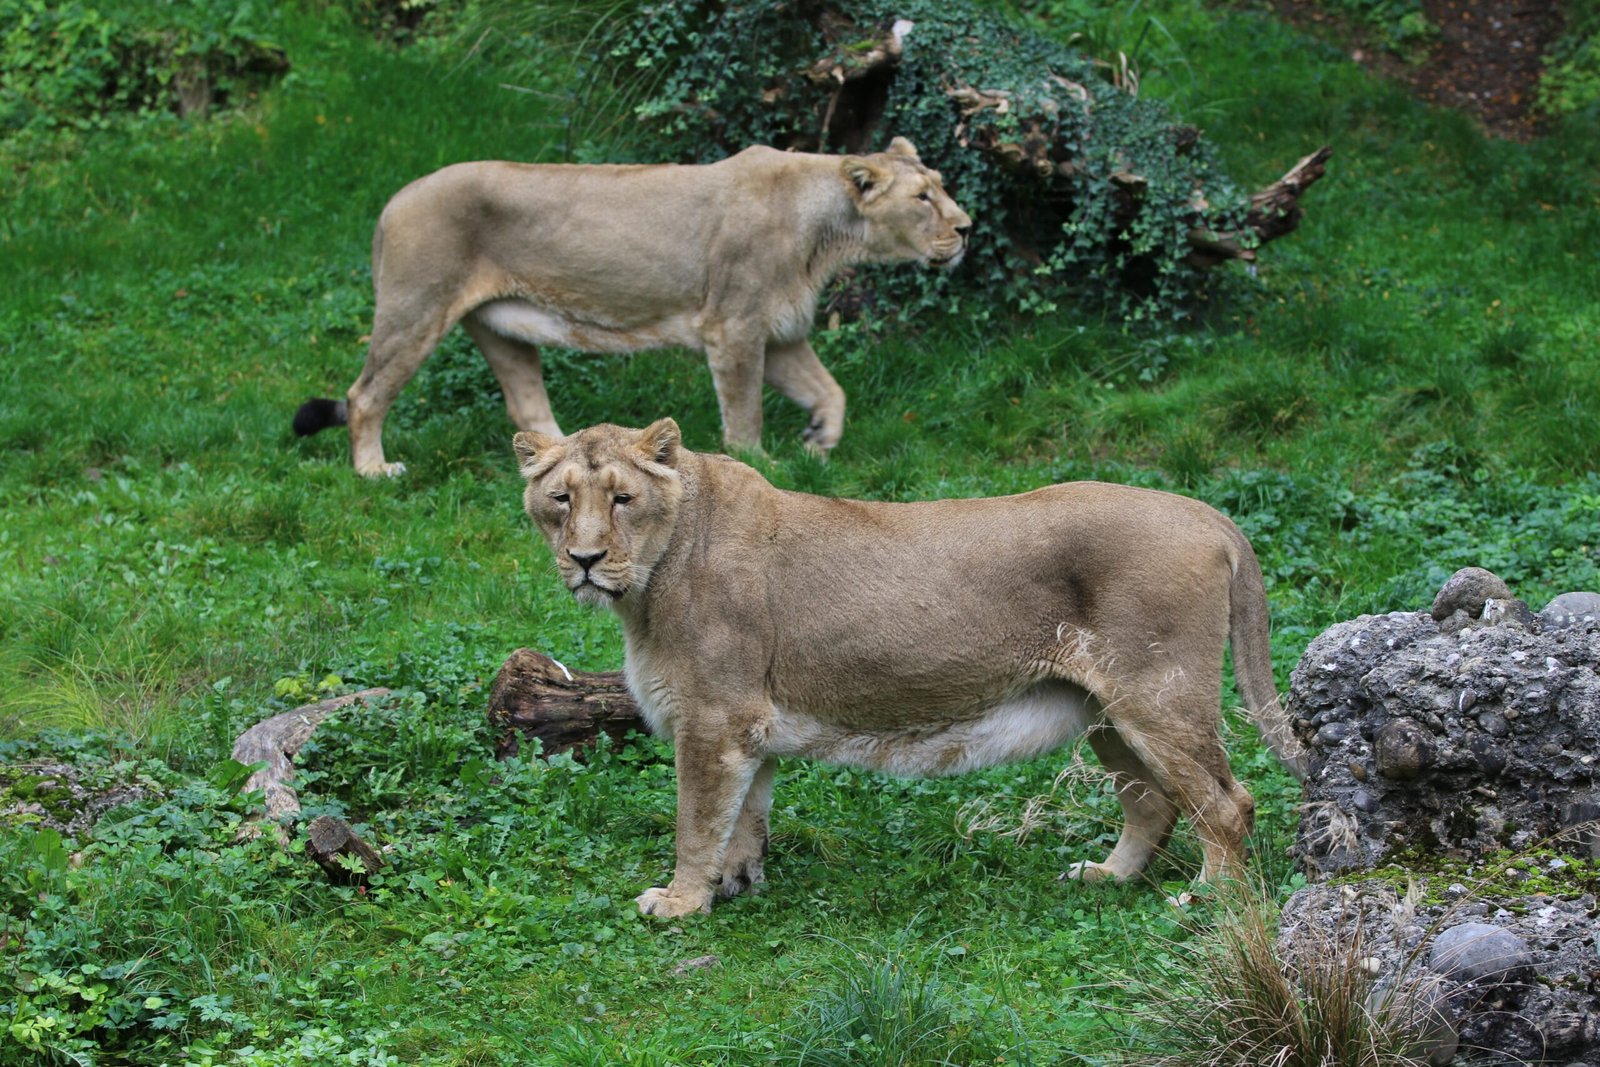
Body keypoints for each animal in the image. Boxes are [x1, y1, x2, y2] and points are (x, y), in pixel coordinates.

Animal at [293, 138, 970, 477]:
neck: (827, 231)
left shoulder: (779, 332)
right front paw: (761, 462)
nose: (966, 228)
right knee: (364, 396)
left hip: (500, 328)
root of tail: (392, 201)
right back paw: (374, 471)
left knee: (526, 406)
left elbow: (832, 392)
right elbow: (744, 412)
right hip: (415, 310)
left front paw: (818, 443)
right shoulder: (735, 327)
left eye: (941, 185)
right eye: (922, 197)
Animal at [513, 419, 1308, 919]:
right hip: (1107, 712)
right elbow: (745, 815)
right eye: (560, 500)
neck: (650, 583)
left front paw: (679, 904)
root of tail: (1209, 514)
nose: (584, 559)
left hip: (1158, 695)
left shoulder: (714, 719)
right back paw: (1105, 878)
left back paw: (1206, 903)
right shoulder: (748, 725)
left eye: (623, 498)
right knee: (1152, 804)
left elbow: (696, 820)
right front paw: (736, 885)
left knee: (1228, 803)